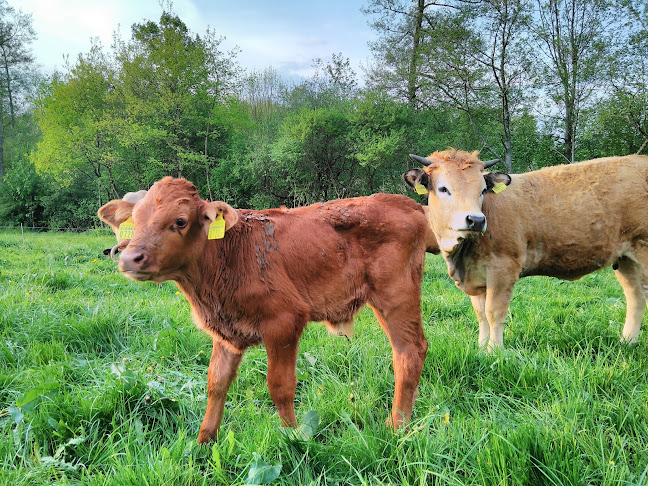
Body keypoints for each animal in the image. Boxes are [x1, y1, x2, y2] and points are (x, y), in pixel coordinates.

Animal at [97, 178, 440, 444]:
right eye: (135, 221)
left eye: (179, 221)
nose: (129, 258)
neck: (226, 256)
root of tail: (403, 202)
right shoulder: (225, 331)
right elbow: (216, 383)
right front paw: (203, 443)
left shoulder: (284, 322)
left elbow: (280, 386)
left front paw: (292, 438)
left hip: (395, 294)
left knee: (409, 351)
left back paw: (397, 427)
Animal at [402, 150, 648, 352]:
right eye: (444, 188)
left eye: (482, 190)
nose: (476, 220)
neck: (461, 254)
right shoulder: (477, 276)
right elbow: (481, 315)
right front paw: (481, 350)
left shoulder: (503, 269)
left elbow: (494, 312)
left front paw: (494, 352)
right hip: (625, 259)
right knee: (635, 297)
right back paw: (627, 342)